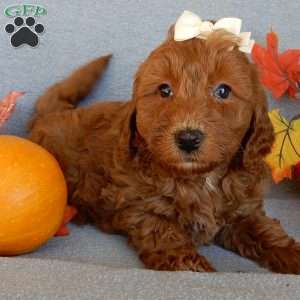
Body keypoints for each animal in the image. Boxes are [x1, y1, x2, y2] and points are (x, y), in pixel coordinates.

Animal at [28, 21, 300, 274]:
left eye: (223, 91)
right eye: (164, 90)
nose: (188, 138)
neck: (199, 179)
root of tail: (53, 112)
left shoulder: (244, 210)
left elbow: (268, 233)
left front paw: (292, 255)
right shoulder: (138, 206)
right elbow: (165, 233)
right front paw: (191, 265)